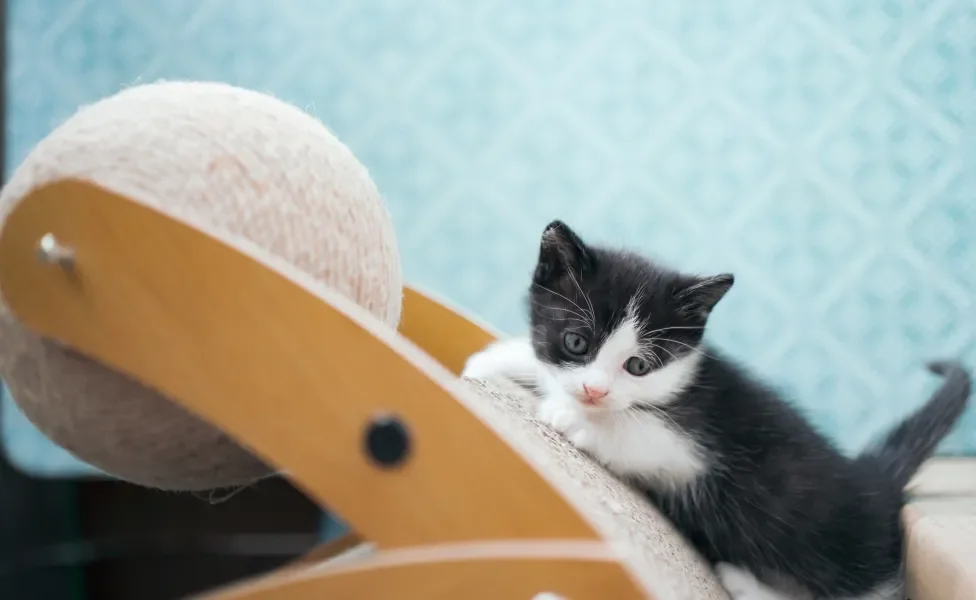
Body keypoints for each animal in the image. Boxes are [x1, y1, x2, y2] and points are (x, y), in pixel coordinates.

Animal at [462, 220, 972, 600]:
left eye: (639, 365)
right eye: (575, 342)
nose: (594, 391)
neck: (679, 384)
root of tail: (875, 480)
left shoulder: (694, 449)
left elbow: (638, 431)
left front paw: (570, 414)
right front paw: (492, 361)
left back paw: (742, 581)